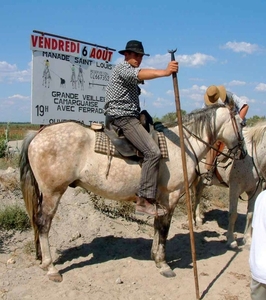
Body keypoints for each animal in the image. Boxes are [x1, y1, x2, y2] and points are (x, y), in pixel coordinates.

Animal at [19, 105, 244, 282]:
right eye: (241, 123)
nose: (242, 153)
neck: (183, 145)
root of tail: (38, 134)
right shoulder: (170, 197)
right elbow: (164, 229)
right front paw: (164, 264)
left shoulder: (159, 200)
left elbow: (157, 226)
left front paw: (155, 257)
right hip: (53, 193)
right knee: (43, 224)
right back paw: (50, 268)